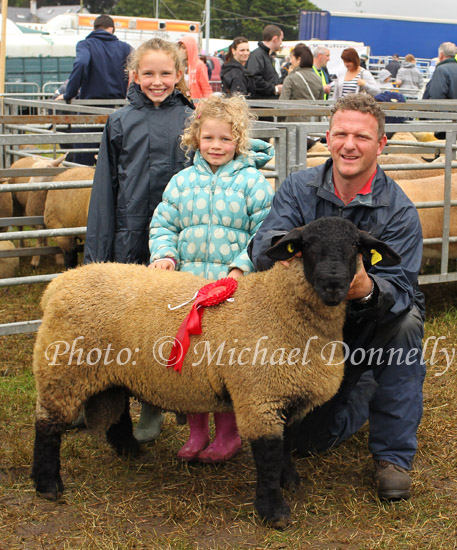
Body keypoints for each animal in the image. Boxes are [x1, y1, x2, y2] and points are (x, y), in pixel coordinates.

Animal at [31, 217, 400, 532]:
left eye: (355, 247)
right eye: (307, 246)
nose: (334, 284)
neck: (279, 303)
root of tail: (58, 284)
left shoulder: (285, 396)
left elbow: (285, 445)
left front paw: (291, 482)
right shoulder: (260, 397)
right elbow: (269, 454)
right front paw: (274, 511)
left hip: (107, 369)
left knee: (117, 408)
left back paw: (130, 451)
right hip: (62, 367)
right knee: (47, 424)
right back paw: (48, 485)